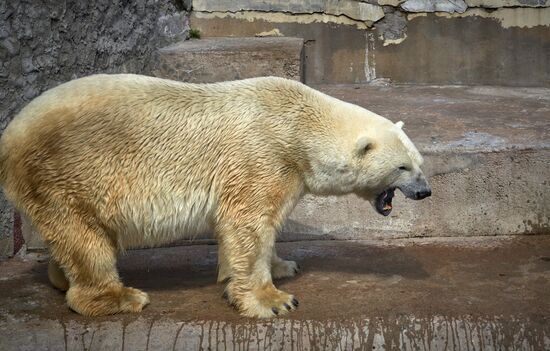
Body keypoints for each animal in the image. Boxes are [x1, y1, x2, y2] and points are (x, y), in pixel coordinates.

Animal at [0, 74, 432, 320]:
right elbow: (248, 224)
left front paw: (283, 266)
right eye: (402, 167)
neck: (297, 125)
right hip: (66, 172)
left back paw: (59, 276)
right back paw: (120, 297)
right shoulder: (261, 155)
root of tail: (9, 136)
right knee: (85, 236)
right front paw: (274, 300)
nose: (425, 190)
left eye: (418, 161)